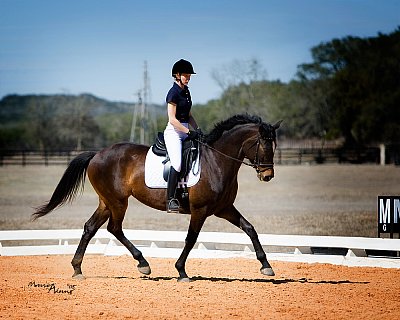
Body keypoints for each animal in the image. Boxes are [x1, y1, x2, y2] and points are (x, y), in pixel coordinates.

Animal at [32, 114, 282, 282]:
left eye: (274, 145)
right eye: (262, 144)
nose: (268, 176)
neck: (216, 161)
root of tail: (97, 154)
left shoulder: (224, 208)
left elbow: (250, 229)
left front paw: (266, 266)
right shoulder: (200, 210)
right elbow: (191, 239)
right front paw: (181, 271)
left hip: (107, 202)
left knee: (90, 228)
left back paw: (77, 269)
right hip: (118, 202)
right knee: (114, 228)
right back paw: (143, 264)